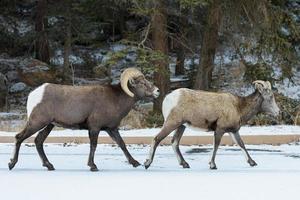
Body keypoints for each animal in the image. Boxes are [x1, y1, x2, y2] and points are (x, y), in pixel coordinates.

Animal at [8, 68, 159, 171]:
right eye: (142, 83)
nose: (157, 91)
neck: (117, 100)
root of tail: (34, 94)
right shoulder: (95, 128)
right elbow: (94, 145)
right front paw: (93, 166)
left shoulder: (111, 129)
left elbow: (122, 144)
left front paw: (135, 163)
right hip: (37, 122)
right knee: (19, 137)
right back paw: (11, 164)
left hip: (49, 125)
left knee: (38, 141)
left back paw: (49, 165)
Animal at [144, 80, 280, 170]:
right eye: (270, 96)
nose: (278, 112)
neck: (239, 107)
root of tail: (168, 98)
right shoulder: (219, 130)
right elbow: (216, 146)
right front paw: (213, 165)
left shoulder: (233, 131)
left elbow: (241, 144)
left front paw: (252, 162)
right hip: (172, 123)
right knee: (157, 139)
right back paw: (147, 163)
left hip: (181, 126)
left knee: (174, 142)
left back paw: (185, 164)